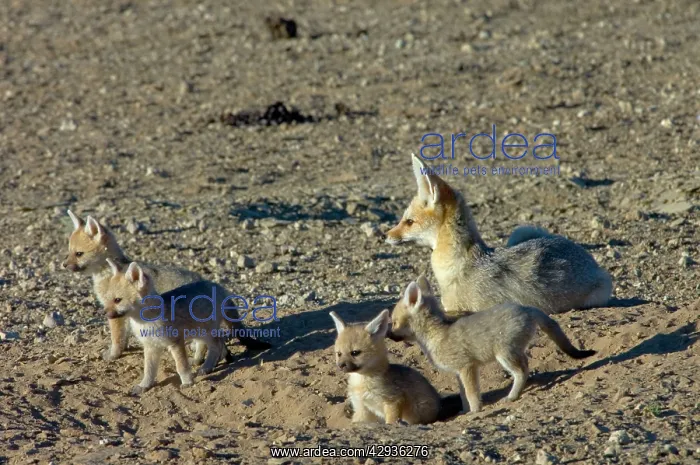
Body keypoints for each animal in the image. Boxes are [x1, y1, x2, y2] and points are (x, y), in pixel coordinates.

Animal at [62, 210, 202, 361]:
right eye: (69, 252)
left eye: (79, 254)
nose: (64, 265)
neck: (107, 272)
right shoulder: (124, 312)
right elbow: (124, 336)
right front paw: (124, 349)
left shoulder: (115, 311)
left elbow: (117, 338)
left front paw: (113, 354)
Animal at [97, 259, 270, 395]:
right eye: (107, 299)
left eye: (117, 300)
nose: (103, 313)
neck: (145, 321)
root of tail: (215, 285)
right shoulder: (151, 347)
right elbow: (149, 370)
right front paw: (144, 385)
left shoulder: (175, 343)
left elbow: (181, 366)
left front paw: (187, 382)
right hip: (199, 333)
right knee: (215, 344)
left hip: (204, 332)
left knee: (217, 345)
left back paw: (207, 367)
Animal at [389, 277, 596, 414]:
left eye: (393, 322)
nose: (388, 334)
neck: (437, 335)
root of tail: (526, 308)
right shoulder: (459, 373)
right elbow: (463, 395)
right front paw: (465, 412)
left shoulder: (467, 367)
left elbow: (472, 394)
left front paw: (475, 411)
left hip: (504, 355)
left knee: (523, 371)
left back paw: (512, 396)